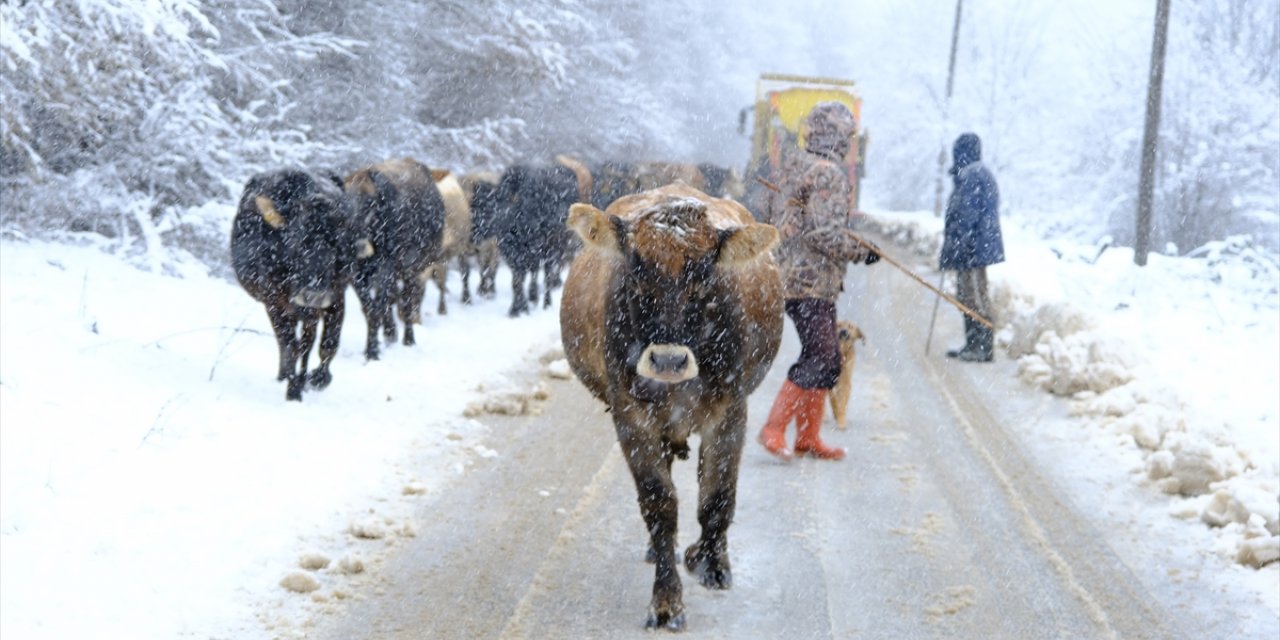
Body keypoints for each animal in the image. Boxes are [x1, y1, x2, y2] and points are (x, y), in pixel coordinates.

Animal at [227, 170, 360, 399]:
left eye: (336, 246)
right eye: (296, 242)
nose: (314, 294)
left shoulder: (334, 297)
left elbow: (326, 343)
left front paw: (318, 379)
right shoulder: (274, 302)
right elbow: (291, 345)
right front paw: (293, 389)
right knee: (285, 342)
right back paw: (284, 377)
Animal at [345, 156, 450, 360]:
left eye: (369, 203)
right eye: (344, 203)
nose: (356, 243)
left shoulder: (391, 265)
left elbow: (382, 305)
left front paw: (373, 351)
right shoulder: (356, 273)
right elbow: (370, 308)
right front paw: (373, 346)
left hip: (412, 267)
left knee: (406, 300)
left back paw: (407, 339)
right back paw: (391, 334)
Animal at [558, 181, 778, 629]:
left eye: (704, 279)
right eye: (637, 275)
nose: (668, 360)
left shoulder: (731, 411)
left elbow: (717, 496)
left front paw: (711, 563)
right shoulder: (630, 416)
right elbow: (659, 503)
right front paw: (665, 602)